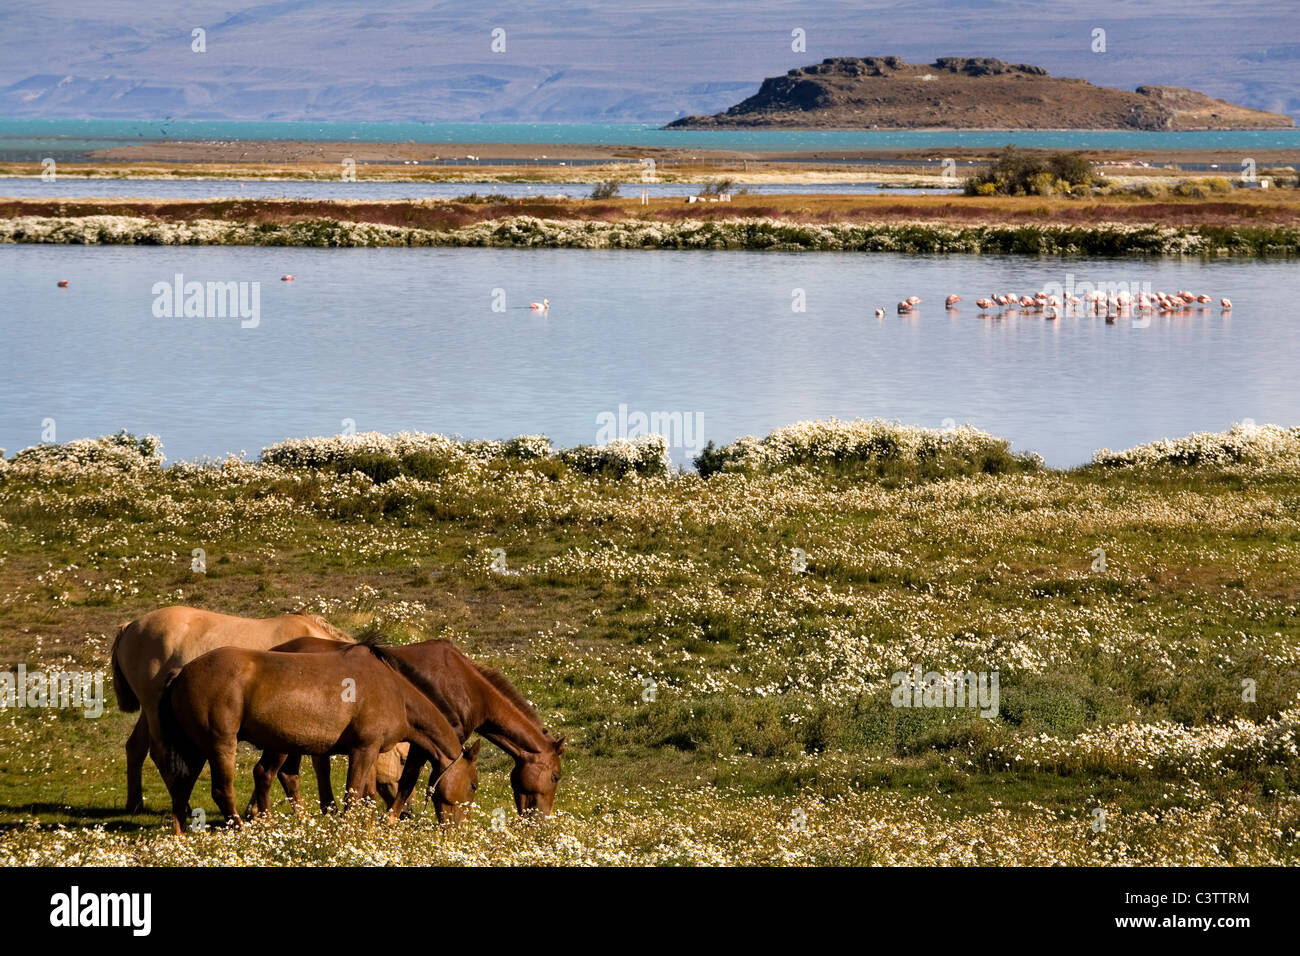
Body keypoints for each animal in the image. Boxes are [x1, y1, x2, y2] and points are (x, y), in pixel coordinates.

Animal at [107, 608, 358, 811]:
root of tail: (130, 626)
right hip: (153, 710)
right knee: (160, 753)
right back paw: (183, 805)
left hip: (151, 711)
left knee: (136, 747)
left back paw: (136, 804)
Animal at [154, 642, 475, 837]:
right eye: (473, 785)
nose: (460, 829)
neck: (395, 690)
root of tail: (181, 673)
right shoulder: (364, 749)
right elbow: (353, 795)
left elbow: (366, 794)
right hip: (221, 745)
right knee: (223, 790)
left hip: (196, 749)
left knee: (183, 786)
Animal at [269, 639, 564, 816]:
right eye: (555, 777)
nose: (539, 821)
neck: (466, 686)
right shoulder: (428, 744)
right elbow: (410, 781)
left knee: (290, 775)